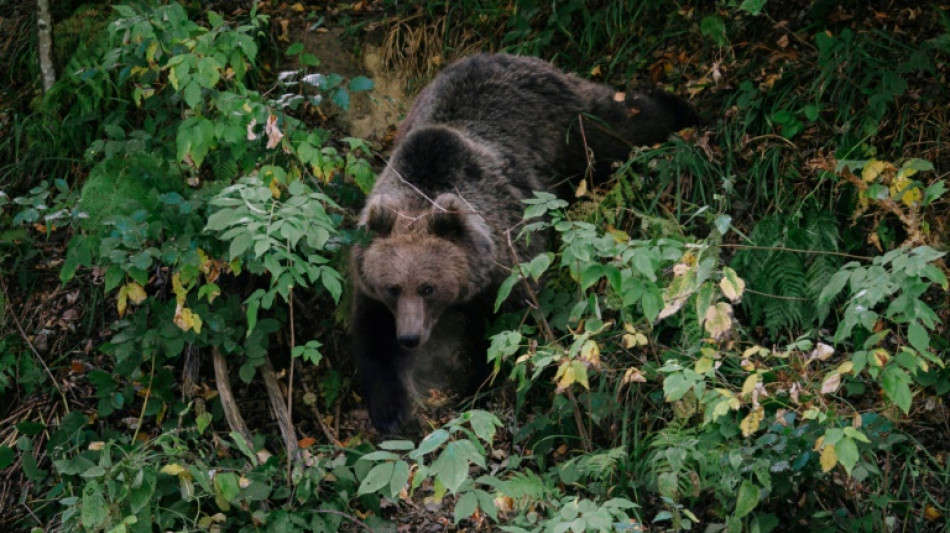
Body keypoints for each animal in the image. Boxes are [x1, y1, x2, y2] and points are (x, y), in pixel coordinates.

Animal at [350, 53, 700, 432]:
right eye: (393, 288)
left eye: (429, 287)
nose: (410, 337)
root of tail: (503, 55)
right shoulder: (370, 279)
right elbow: (370, 338)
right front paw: (390, 412)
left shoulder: (508, 262)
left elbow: (508, 331)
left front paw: (479, 388)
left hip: (565, 121)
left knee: (618, 125)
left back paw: (683, 110)